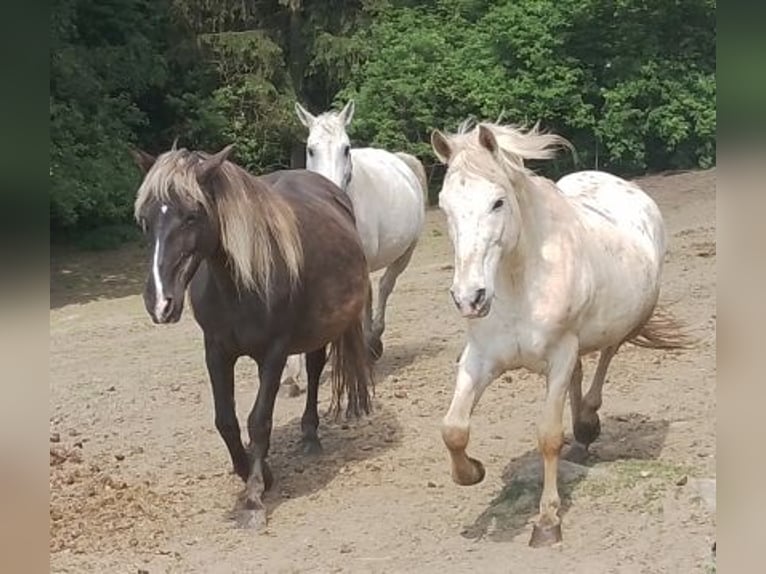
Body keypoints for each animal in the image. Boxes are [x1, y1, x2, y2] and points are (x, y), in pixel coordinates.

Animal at [131, 142, 374, 530]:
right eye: (146, 219)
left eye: (192, 215)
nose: (159, 301)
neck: (238, 286)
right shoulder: (216, 351)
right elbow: (226, 421)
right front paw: (251, 471)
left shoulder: (274, 353)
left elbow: (259, 421)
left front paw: (254, 495)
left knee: (315, 369)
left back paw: (310, 436)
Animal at [430, 120, 690, 547]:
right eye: (445, 206)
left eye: (497, 202)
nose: (469, 297)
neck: (519, 284)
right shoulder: (480, 358)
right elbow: (453, 429)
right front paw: (472, 471)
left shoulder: (559, 354)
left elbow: (549, 436)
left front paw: (548, 520)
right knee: (580, 375)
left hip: (616, 326)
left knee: (604, 360)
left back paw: (587, 425)